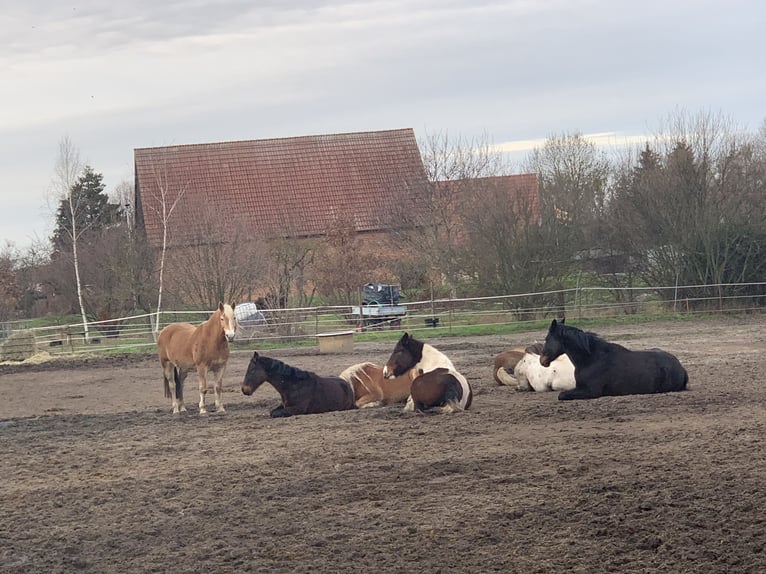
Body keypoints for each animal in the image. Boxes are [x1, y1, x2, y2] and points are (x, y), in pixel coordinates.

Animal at [540, 320, 688, 400]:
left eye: (547, 339)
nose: (542, 360)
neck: (591, 359)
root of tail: (681, 367)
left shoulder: (590, 391)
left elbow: (562, 395)